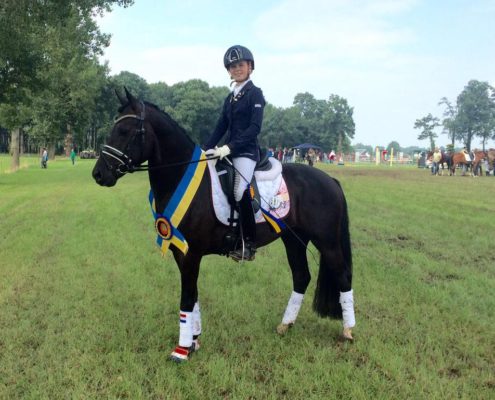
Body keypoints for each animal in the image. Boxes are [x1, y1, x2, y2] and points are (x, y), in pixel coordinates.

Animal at [92, 90, 356, 362]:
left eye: (125, 130)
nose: (99, 174)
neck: (182, 176)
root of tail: (330, 179)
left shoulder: (191, 254)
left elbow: (187, 298)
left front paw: (181, 350)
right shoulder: (181, 251)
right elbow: (194, 297)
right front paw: (194, 341)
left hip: (327, 242)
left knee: (343, 276)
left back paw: (347, 332)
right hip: (294, 240)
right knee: (301, 276)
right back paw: (285, 325)